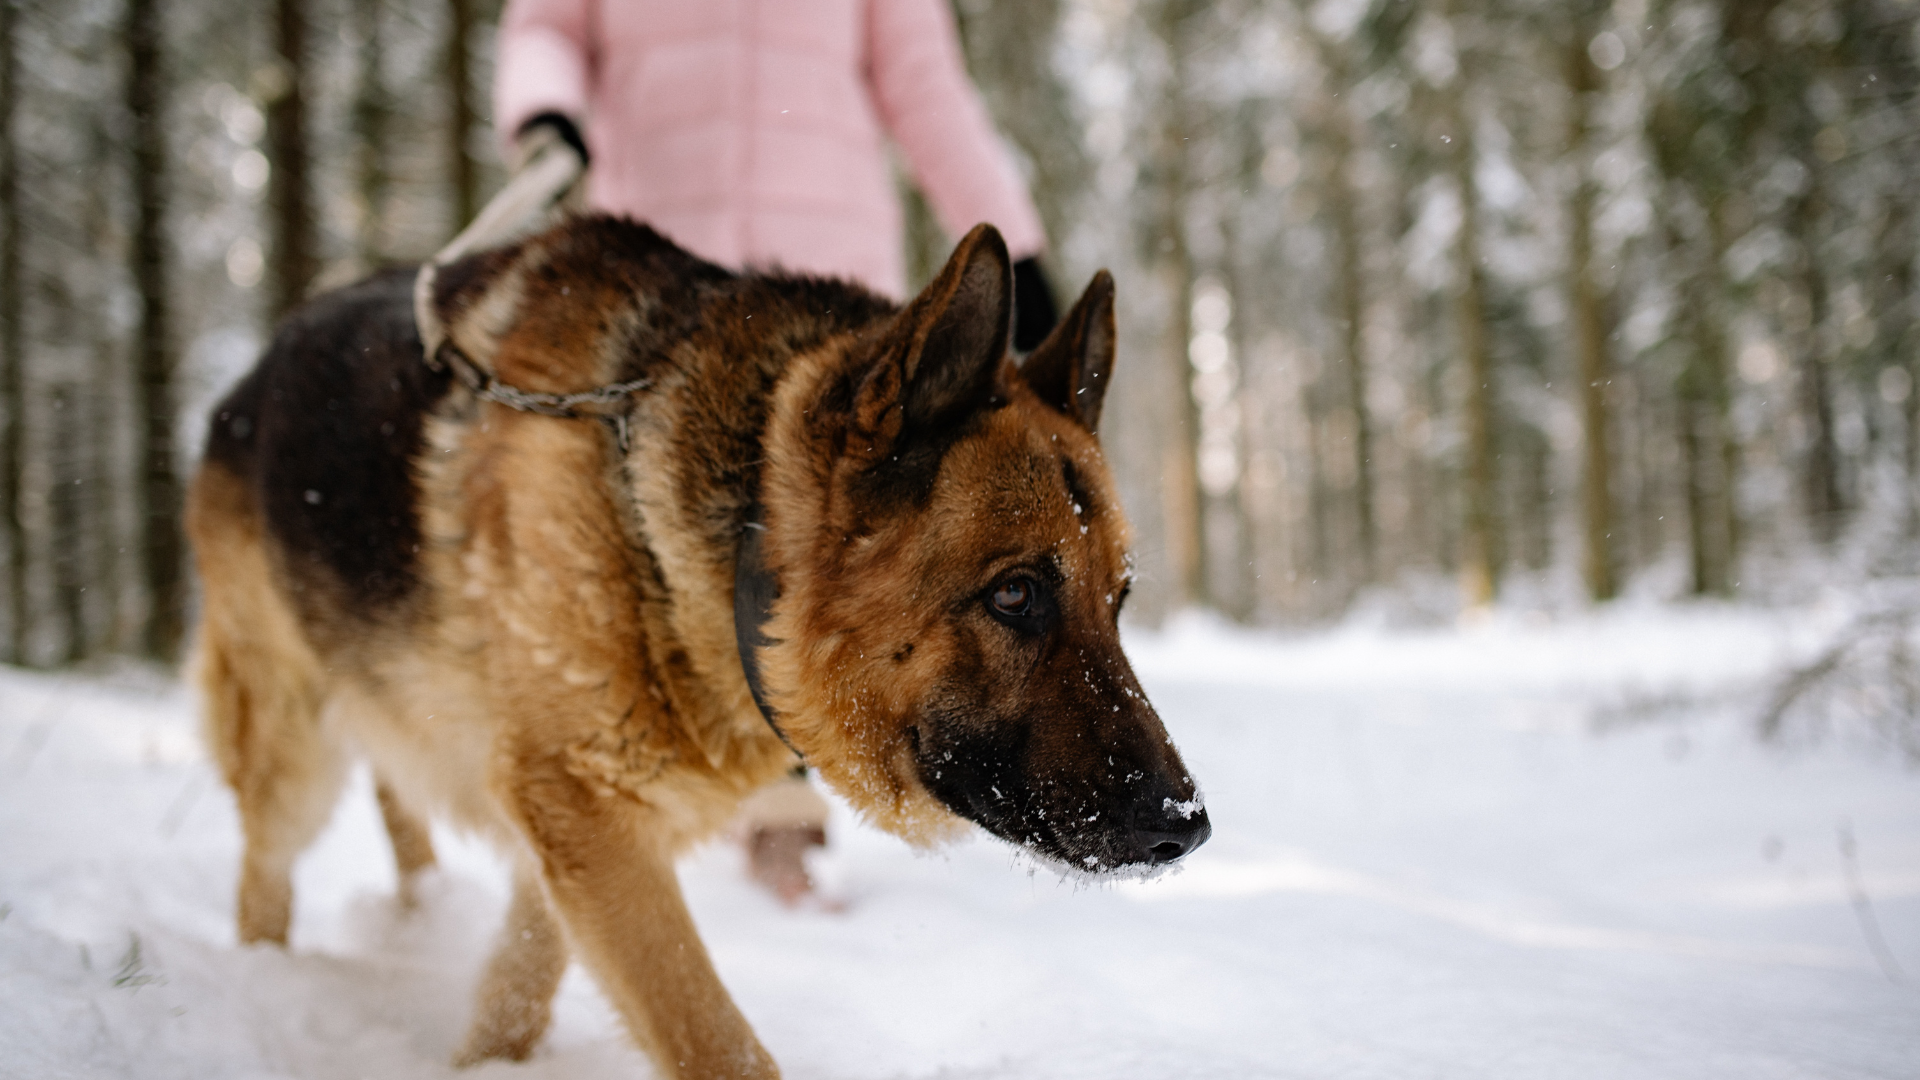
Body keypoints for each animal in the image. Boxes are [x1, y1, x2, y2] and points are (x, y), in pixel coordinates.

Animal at [187, 214, 1205, 1068]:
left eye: (1117, 601)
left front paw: (484, 1066)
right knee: (262, 877)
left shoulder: (574, 827)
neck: (726, 559)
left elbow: (520, 982)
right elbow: (716, 1043)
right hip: (291, 758)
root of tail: (249, 375)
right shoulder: (584, 812)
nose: (1186, 828)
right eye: (1017, 594)